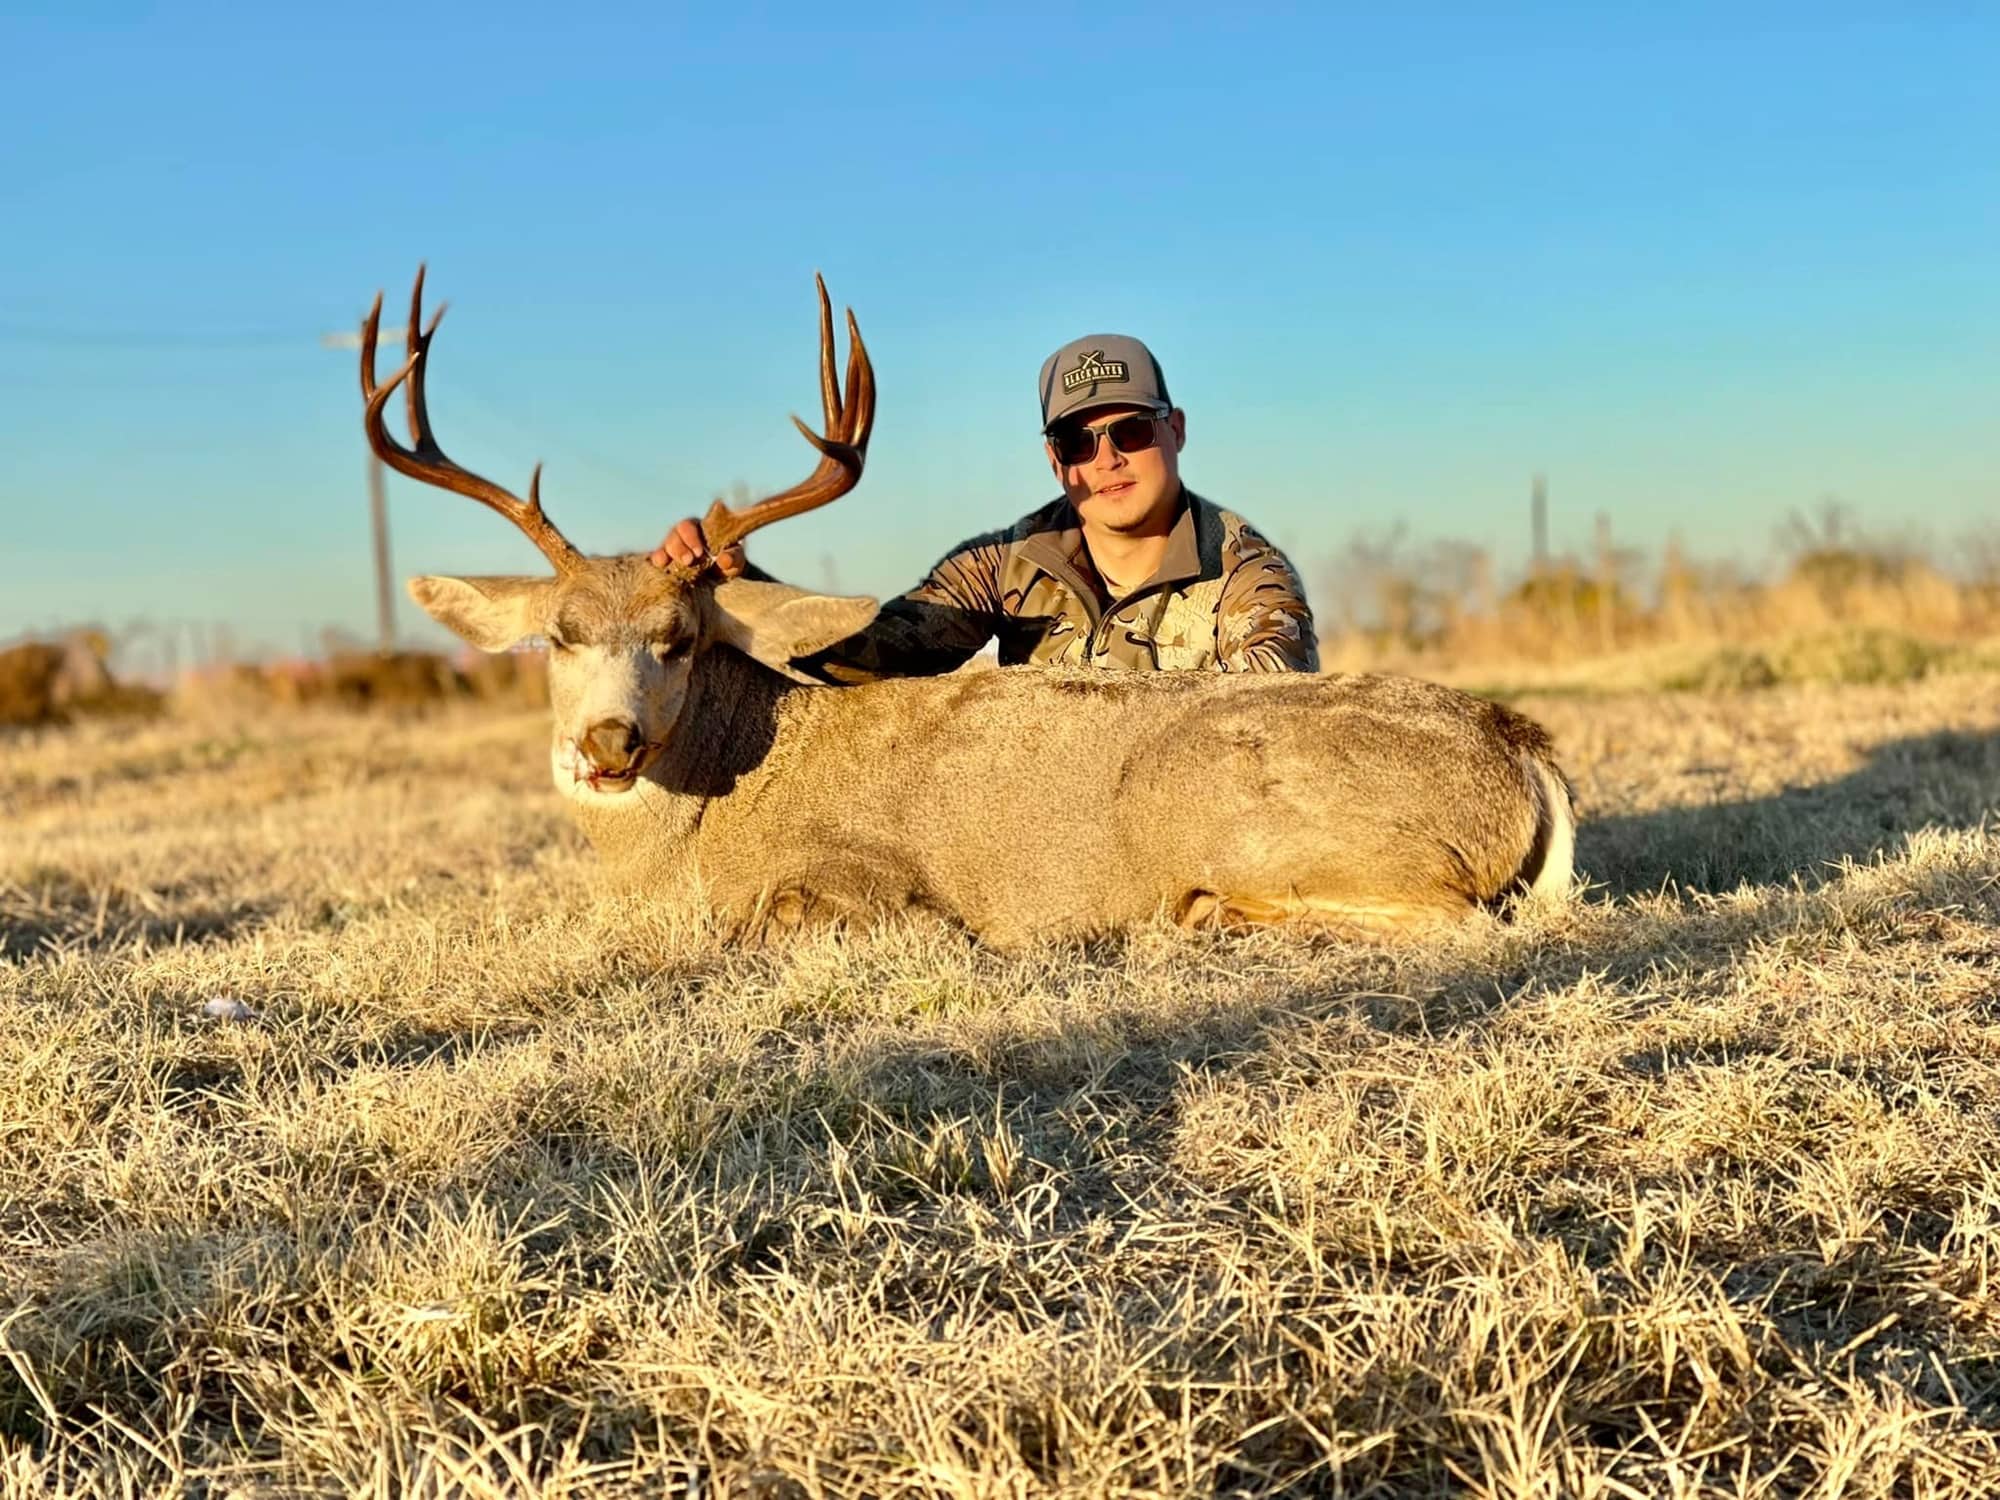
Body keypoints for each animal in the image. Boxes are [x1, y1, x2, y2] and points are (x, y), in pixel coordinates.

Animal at [362, 268, 1575, 947]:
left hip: (1243, 811)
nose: (608, 743)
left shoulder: (860, 881)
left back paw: (1209, 917)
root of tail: (1520, 742)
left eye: (679, 639)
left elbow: (784, 921)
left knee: (1467, 926)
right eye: (557, 639)